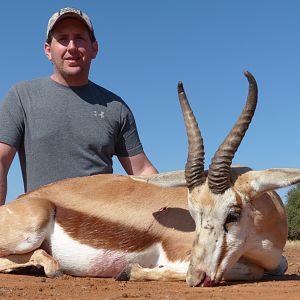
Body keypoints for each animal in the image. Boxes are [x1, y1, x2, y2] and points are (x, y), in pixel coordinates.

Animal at [0, 71, 300, 288]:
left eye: (233, 214)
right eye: (193, 214)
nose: (198, 277)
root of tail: (25, 199)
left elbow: (278, 266)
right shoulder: (179, 257)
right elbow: (248, 271)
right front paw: (128, 271)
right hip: (33, 226)